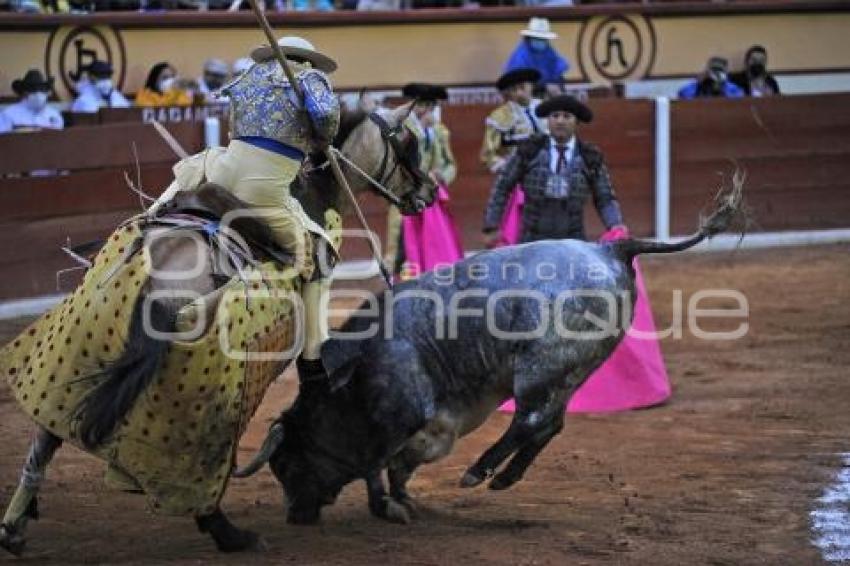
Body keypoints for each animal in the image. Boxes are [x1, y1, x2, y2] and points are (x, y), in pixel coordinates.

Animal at [0, 100, 434, 556]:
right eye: (408, 143)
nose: (428, 193)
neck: (311, 190)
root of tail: (159, 277)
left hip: (76, 354)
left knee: (46, 434)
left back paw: (15, 527)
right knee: (201, 470)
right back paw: (230, 534)